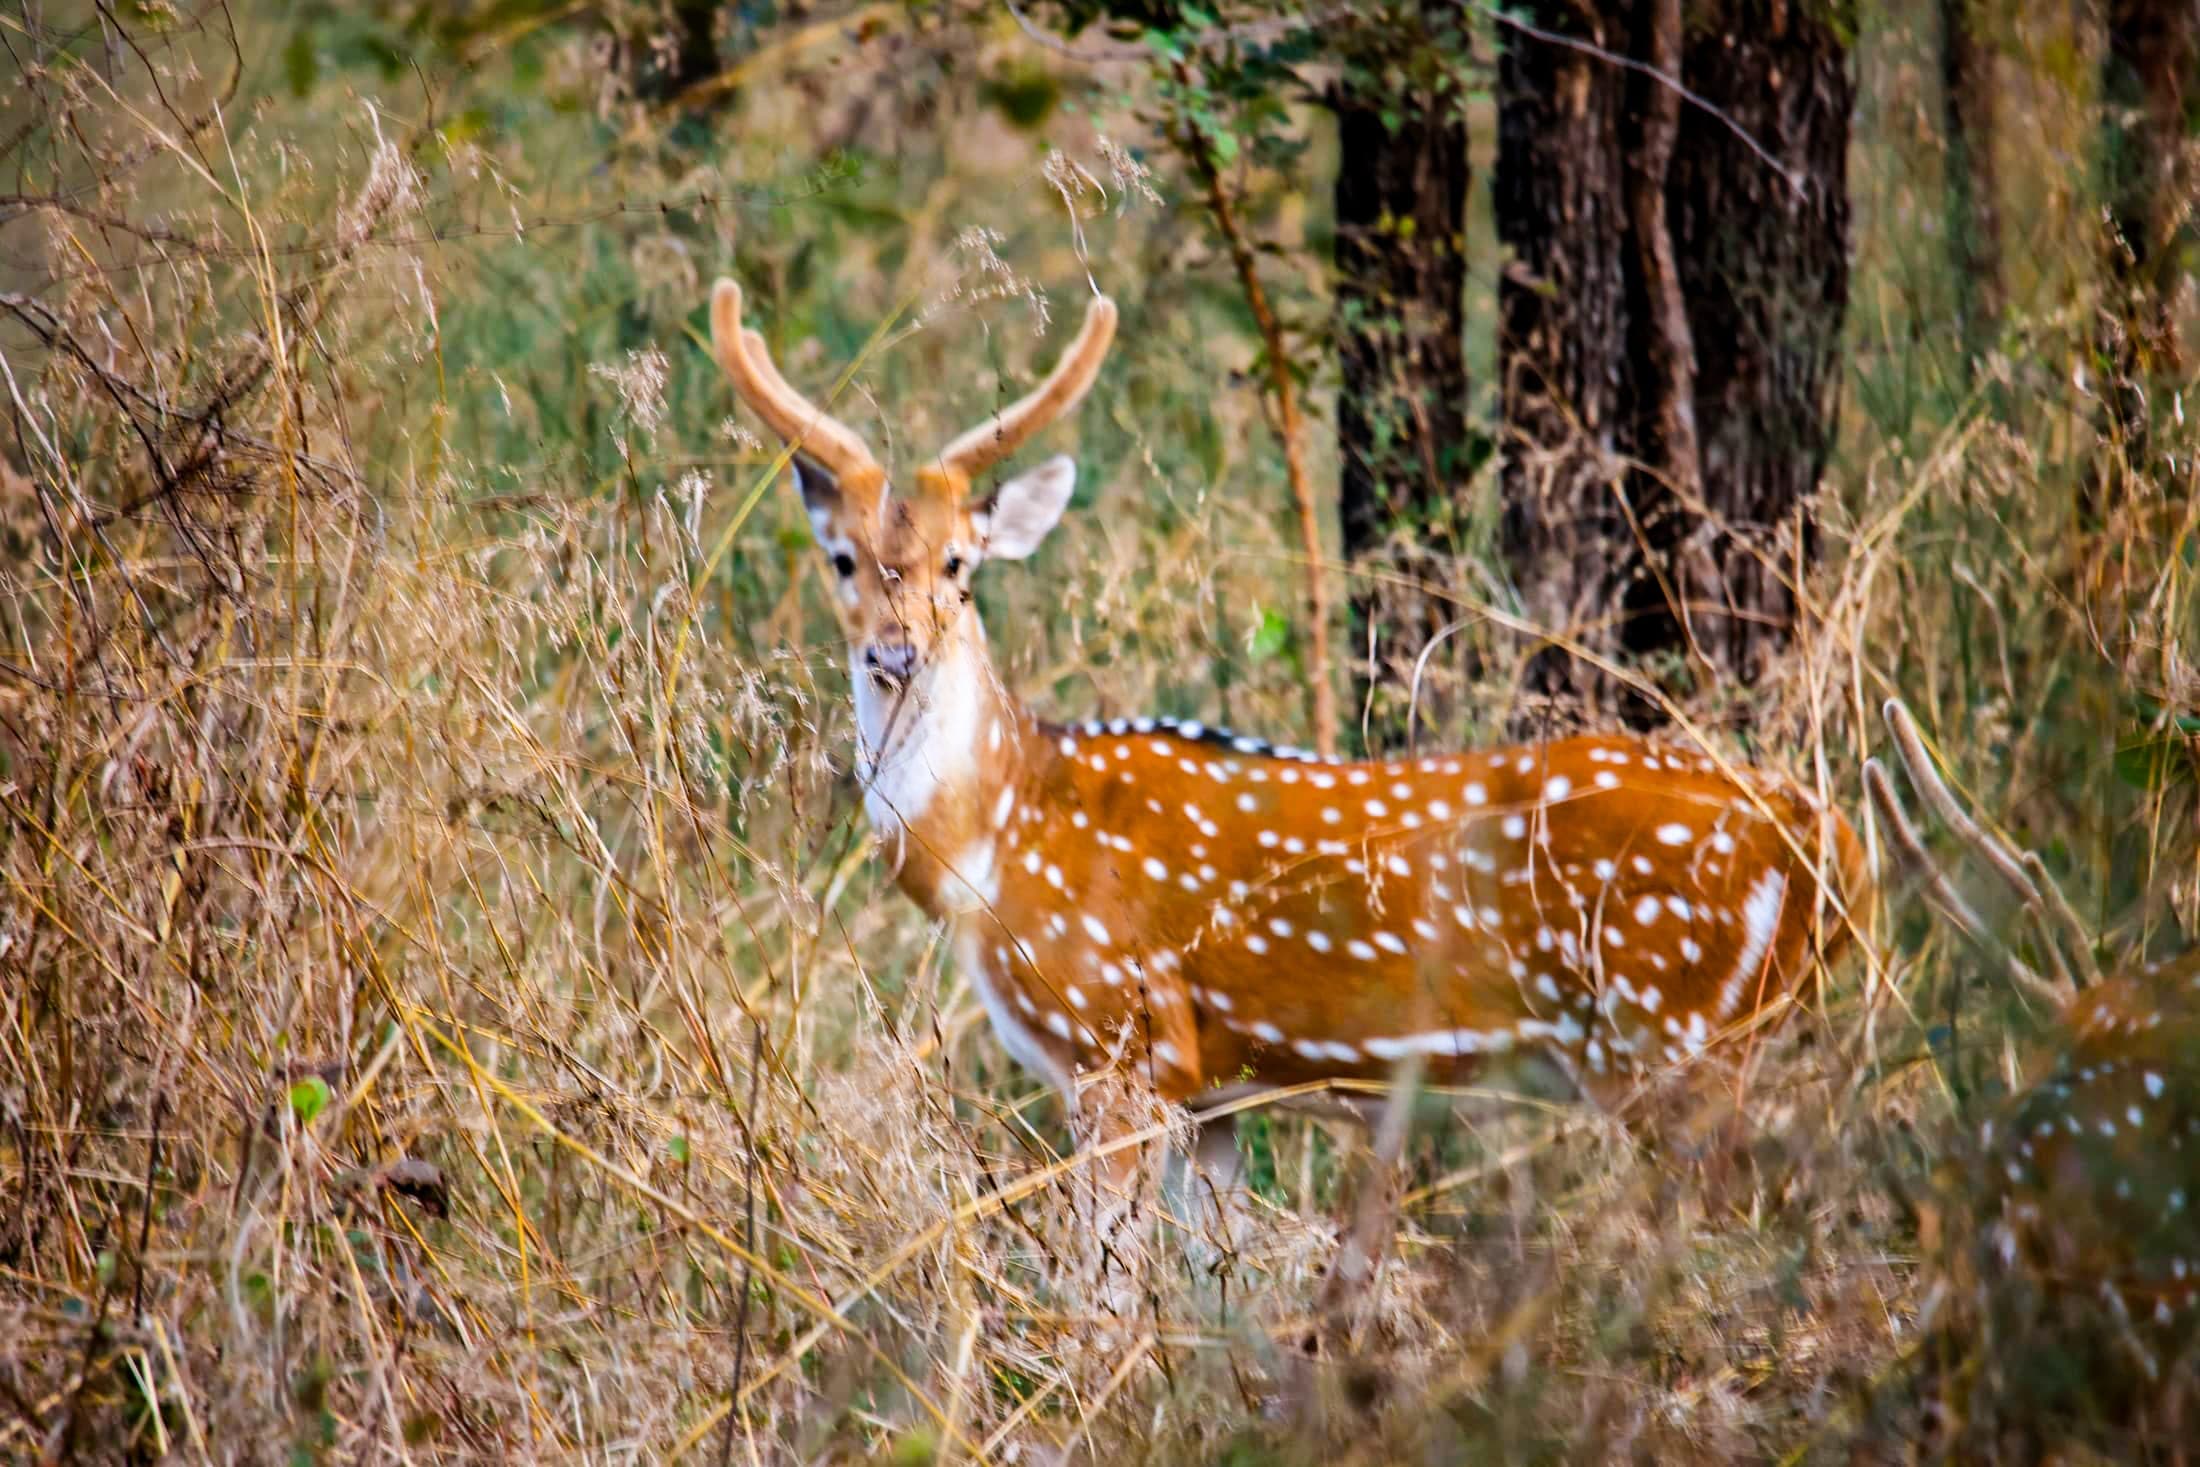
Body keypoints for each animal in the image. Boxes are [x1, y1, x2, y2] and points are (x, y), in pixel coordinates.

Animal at [706, 273, 1871, 1218]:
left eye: (959, 562)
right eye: (844, 560)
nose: (894, 654)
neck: (991, 844)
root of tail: (1831, 842)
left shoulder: (1116, 1045)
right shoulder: (1210, 1092)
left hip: (1671, 1032)